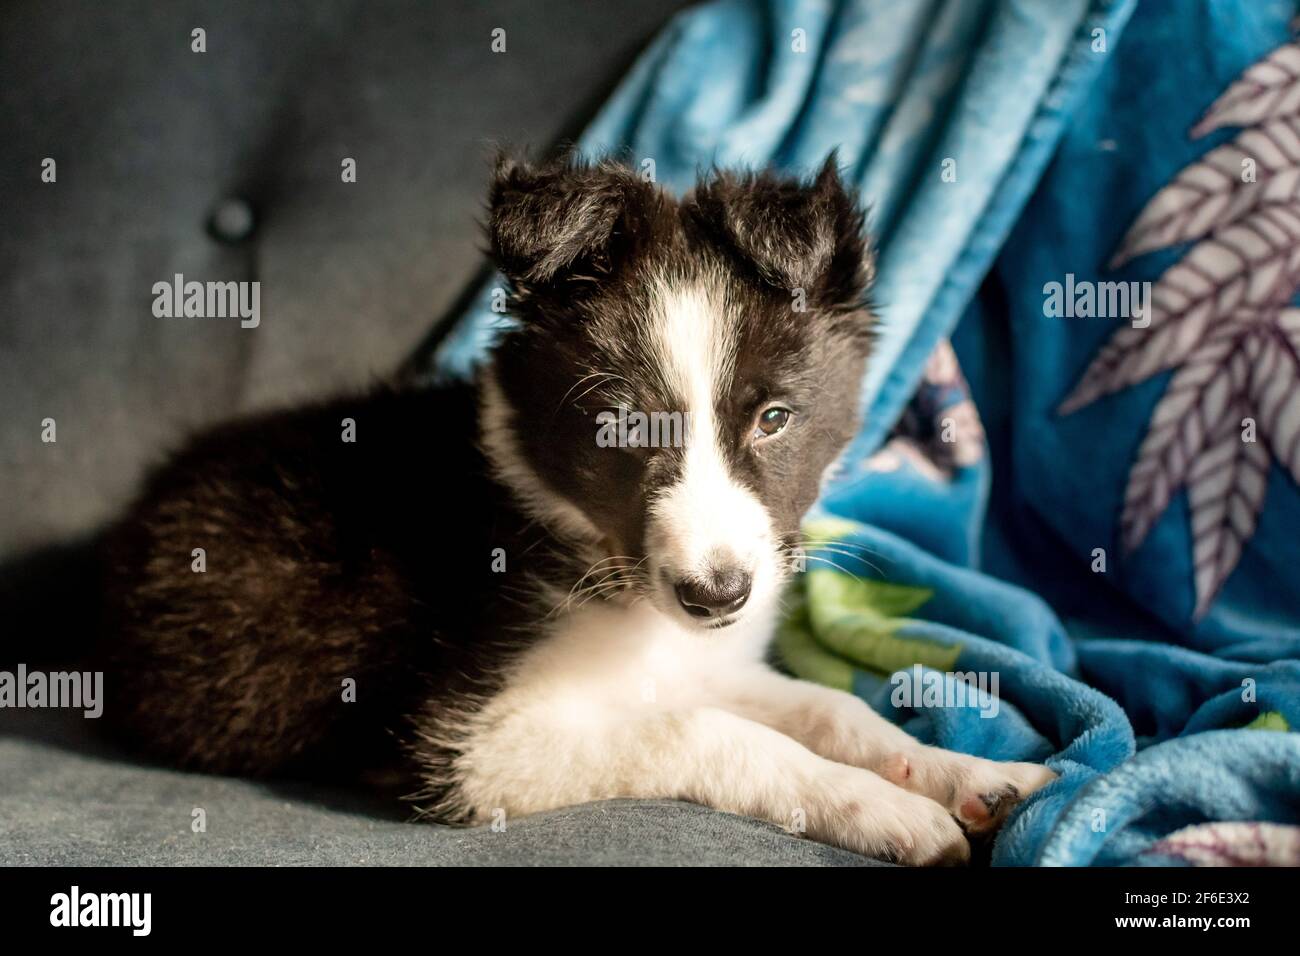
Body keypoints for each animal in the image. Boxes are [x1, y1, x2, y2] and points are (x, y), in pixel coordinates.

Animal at [101, 151, 1055, 868]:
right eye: (622, 424)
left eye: (775, 418)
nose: (717, 596)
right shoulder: (466, 747)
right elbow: (702, 732)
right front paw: (883, 809)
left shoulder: (701, 661)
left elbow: (831, 709)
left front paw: (972, 775)